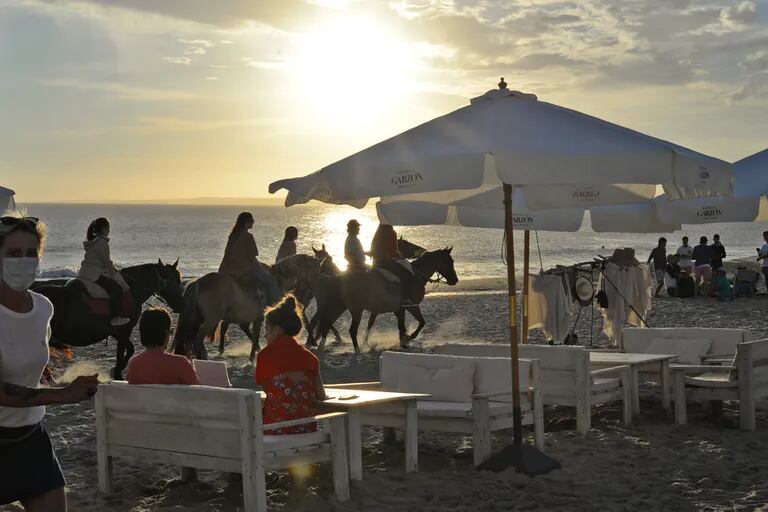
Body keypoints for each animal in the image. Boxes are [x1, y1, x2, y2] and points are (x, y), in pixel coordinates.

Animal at [36, 262, 186, 378]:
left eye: (179, 280)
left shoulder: (117, 332)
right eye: (172, 280)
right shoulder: (124, 330)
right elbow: (125, 351)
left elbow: (127, 350)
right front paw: (118, 372)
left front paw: (117, 371)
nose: (180, 304)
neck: (131, 290)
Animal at [176, 254, 322, 362]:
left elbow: (254, 334)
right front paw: (253, 358)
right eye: (316, 271)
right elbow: (257, 335)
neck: (279, 281)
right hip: (212, 319)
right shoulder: (260, 318)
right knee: (199, 337)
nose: (311, 293)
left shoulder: (255, 318)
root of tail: (199, 282)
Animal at [314, 247, 460, 352]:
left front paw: (403, 341)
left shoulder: (399, 310)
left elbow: (399, 326)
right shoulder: (411, 306)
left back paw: (322, 345)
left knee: (327, 322)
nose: (455, 280)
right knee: (350, 329)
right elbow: (421, 323)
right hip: (356, 310)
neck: (415, 275)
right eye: (449, 262)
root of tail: (340, 277)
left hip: (340, 306)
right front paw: (408, 338)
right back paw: (357, 351)